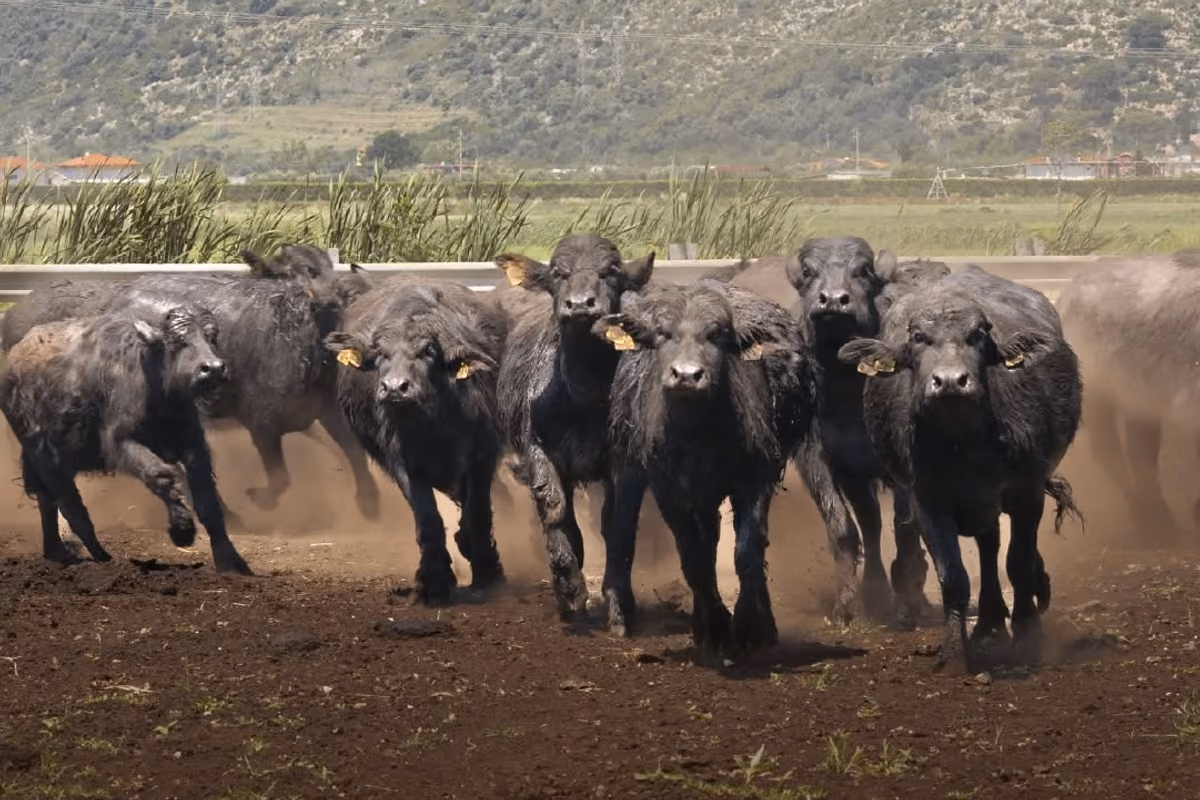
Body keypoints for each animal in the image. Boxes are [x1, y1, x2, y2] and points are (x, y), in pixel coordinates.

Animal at [0, 303, 252, 574]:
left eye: (211, 337)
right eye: (177, 342)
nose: (213, 368)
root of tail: (15, 357)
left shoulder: (193, 446)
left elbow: (207, 502)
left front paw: (231, 560)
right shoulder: (122, 443)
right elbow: (162, 476)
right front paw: (182, 530)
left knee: (47, 501)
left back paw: (57, 552)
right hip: (46, 458)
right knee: (70, 505)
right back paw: (101, 558)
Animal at [839, 265, 1082, 670]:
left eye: (977, 335)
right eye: (918, 337)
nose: (951, 381)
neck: (964, 446)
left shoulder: (1027, 493)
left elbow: (1018, 562)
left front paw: (1028, 635)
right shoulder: (928, 502)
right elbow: (953, 576)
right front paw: (955, 651)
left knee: (1001, 550)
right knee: (987, 546)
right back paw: (989, 623)